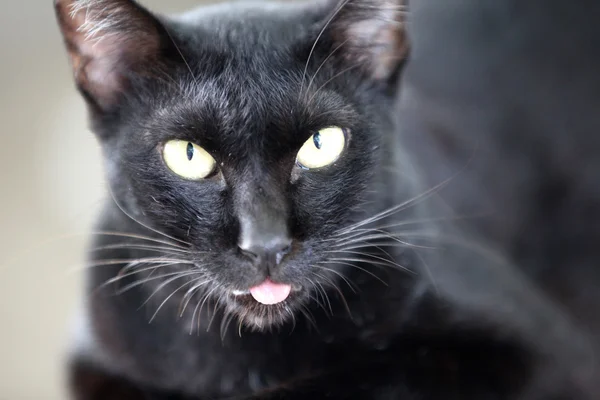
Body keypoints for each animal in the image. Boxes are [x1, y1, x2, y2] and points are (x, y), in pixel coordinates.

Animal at [54, 0, 600, 400]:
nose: (266, 244)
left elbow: (372, 375)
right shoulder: (95, 362)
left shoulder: (545, 353)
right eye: (188, 155)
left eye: (321, 144)